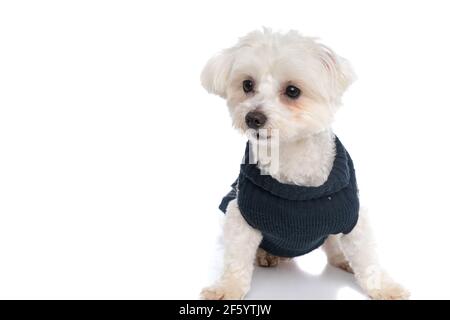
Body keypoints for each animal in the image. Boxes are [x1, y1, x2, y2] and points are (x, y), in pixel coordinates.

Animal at [200, 28, 408, 300]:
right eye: (247, 85)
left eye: (292, 91)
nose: (253, 118)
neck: (291, 159)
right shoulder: (239, 215)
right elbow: (236, 260)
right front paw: (227, 288)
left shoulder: (354, 217)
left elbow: (367, 258)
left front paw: (383, 287)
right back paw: (266, 255)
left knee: (334, 246)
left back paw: (343, 260)